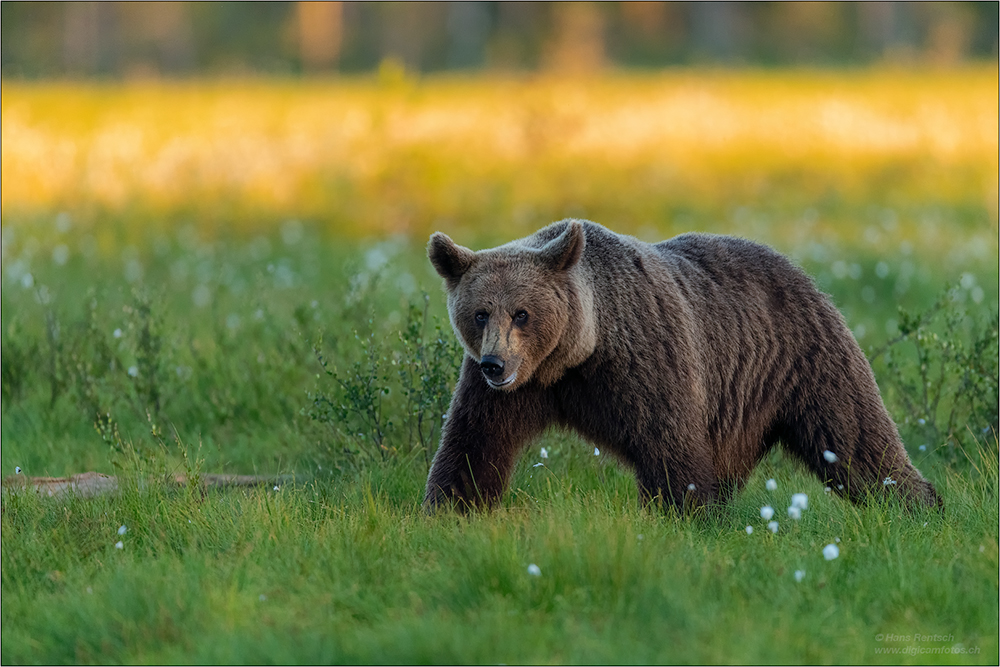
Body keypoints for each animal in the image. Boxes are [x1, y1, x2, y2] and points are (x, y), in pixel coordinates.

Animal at [422, 220, 936, 512]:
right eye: (480, 313)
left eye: (522, 313)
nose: (495, 364)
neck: (574, 356)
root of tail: (800, 271)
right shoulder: (509, 391)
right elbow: (474, 441)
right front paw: (450, 506)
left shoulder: (644, 358)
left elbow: (668, 441)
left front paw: (681, 510)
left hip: (802, 358)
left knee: (853, 438)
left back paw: (915, 502)